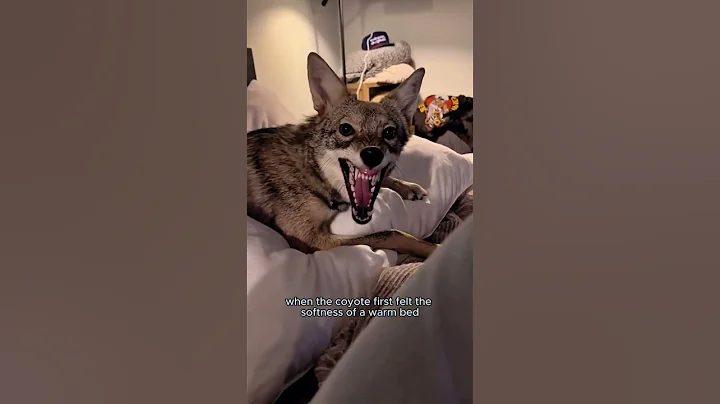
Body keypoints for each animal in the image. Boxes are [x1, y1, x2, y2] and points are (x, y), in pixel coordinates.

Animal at [247, 52, 438, 258]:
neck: (313, 172)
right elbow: (392, 234)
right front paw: (433, 248)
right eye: (345, 129)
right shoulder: (312, 240)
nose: (372, 155)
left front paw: (408, 187)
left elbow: (386, 181)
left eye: (389, 132)